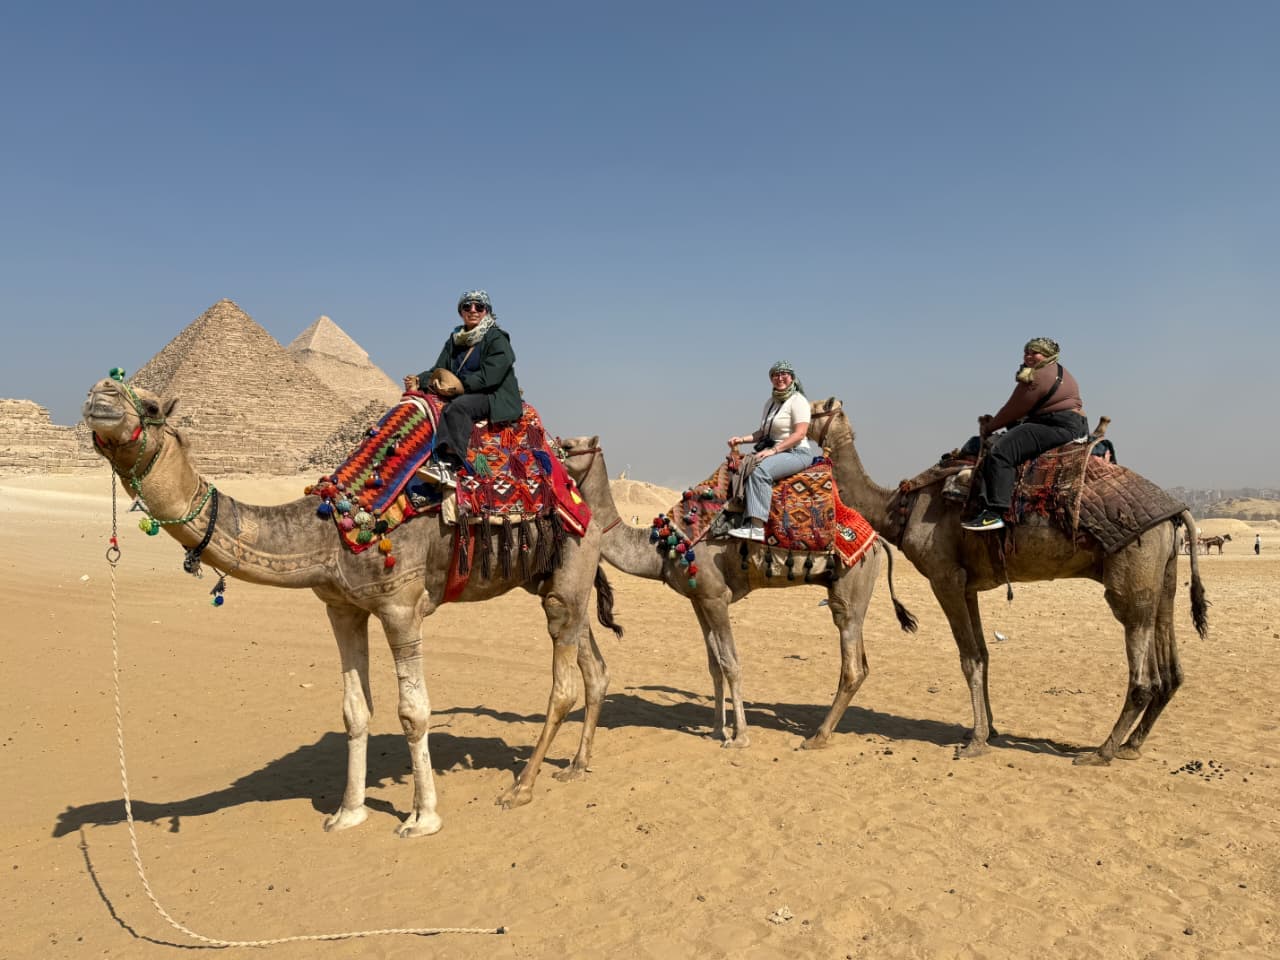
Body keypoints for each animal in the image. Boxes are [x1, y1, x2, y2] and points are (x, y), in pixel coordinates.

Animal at [83, 376, 621, 838]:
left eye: (152, 406)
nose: (99, 394)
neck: (331, 529)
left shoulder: (401, 605)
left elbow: (413, 712)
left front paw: (422, 818)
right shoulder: (341, 608)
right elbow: (354, 711)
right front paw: (348, 812)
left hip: (572, 559)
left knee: (564, 682)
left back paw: (522, 787)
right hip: (546, 575)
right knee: (592, 663)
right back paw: (576, 766)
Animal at [559, 436, 917, 749]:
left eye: (567, 445)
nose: (549, 454)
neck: (663, 546)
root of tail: (876, 541)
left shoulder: (717, 598)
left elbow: (731, 663)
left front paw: (739, 737)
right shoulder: (699, 600)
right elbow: (714, 664)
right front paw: (717, 729)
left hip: (849, 590)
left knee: (852, 665)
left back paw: (817, 737)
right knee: (862, 665)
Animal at [797, 398, 1208, 765]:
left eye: (814, 408)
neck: (898, 509)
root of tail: (1177, 511)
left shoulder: (944, 578)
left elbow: (969, 659)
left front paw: (976, 742)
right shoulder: (969, 586)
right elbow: (984, 653)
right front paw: (987, 729)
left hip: (1132, 571)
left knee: (1141, 670)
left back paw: (1102, 751)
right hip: (1164, 573)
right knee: (1171, 667)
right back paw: (1131, 745)